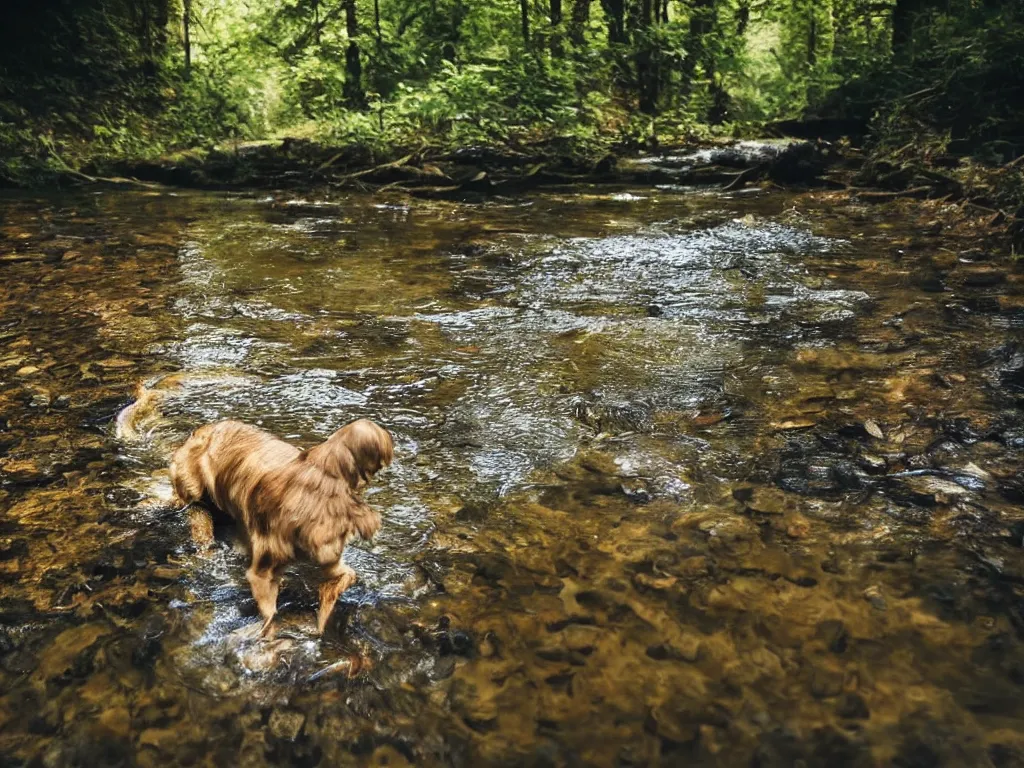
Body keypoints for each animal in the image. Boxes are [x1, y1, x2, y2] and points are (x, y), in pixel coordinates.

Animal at [167, 417, 391, 634]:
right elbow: (270, 615)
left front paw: (323, 613)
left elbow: (346, 576)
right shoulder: (262, 573)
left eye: (343, 533)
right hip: (194, 488)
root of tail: (207, 428)